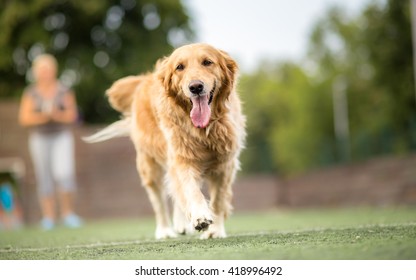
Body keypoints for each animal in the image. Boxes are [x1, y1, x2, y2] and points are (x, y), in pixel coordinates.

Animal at [85, 43, 245, 238]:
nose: (196, 87)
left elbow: (218, 201)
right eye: (179, 67)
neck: (204, 129)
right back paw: (165, 231)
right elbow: (190, 190)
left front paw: (215, 231)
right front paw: (199, 215)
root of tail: (145, 79)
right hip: (149, 166)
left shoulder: (225, 164)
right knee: (159, 202)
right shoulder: (182, 158)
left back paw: (182, 225)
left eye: (207, 62)